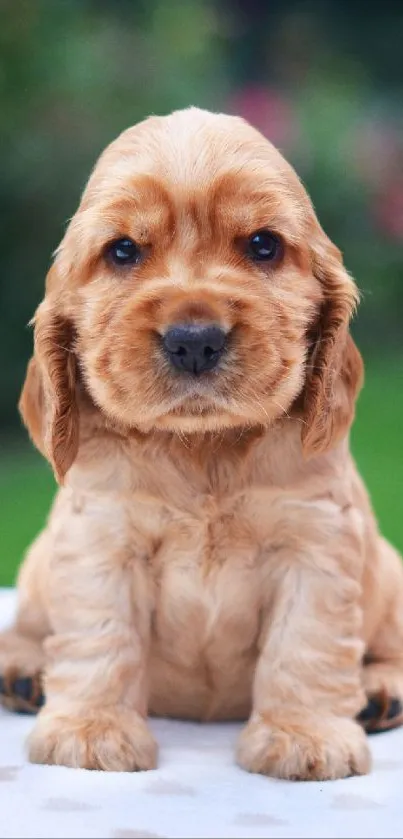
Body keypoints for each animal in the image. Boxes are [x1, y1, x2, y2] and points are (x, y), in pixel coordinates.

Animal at [1, 106, 402, 780]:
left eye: (263, 245)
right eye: (123, 250)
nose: (194, 340)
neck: (203, 447)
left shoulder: (315, 543)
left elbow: (305, 644)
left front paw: (304, 737)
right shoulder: (101, 540)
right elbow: (101, 637)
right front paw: (91, 731)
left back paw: (380, 694)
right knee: (30, 624)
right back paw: (23, 673)